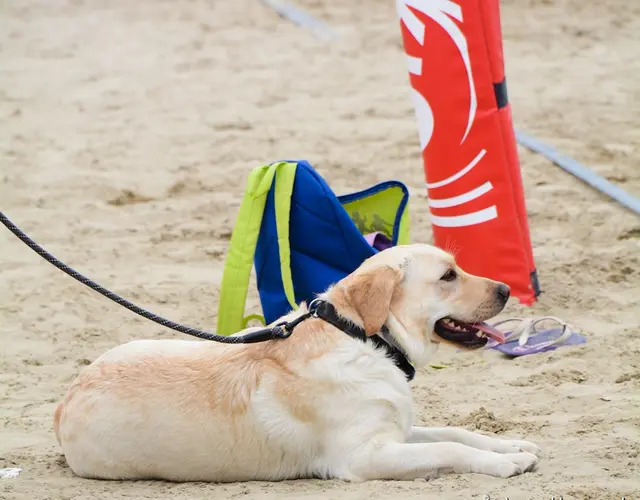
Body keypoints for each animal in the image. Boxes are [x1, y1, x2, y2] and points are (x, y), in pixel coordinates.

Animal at [55, 244, 540, 482]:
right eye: (448, 276)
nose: (505, 289)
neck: (366, 338)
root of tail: (65, 399)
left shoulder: (396, 430)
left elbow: (457, 433)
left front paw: (513, 446)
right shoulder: (363, 456)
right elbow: (448, 448)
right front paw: (505, 465)